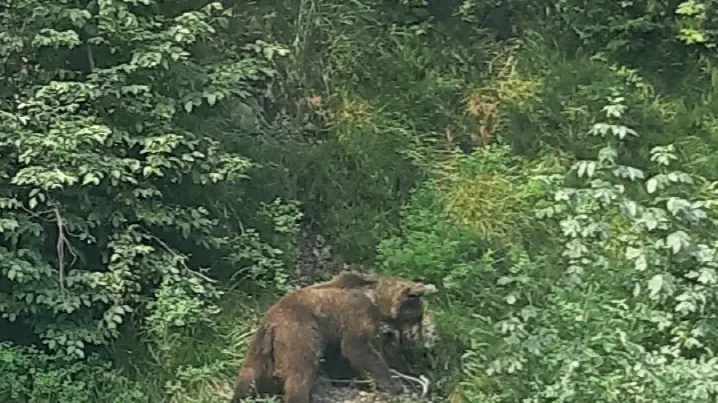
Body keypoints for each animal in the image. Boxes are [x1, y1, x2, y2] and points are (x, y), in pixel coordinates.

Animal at [231, 272, 438, 403]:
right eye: (417, 316)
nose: (417, 337)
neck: (377, 301)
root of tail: (274, 323)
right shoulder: (357, 313)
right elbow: (357, 347)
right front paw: (393, 384)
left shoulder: (334, 329)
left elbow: (338, 353)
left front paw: (344, 377)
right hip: (300, 333)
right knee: (300, 372)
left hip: (260, 342)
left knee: (249, 373)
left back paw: (238, 396)